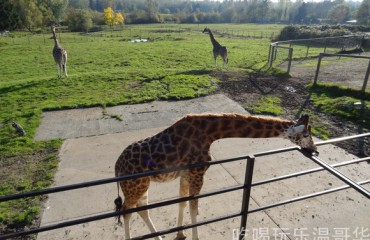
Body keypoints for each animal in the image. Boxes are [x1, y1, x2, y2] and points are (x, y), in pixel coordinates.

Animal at [113, 113, 318, 240]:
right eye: (306, 134)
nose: (315, 150)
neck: (211, 133)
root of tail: (117, 169)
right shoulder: (198, 172)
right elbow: (194, 207)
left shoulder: (186, 174)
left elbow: (183, 202)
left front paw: (180, 234)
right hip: (135, 186)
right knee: (126, 211)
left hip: (142, 185)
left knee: (142, 210)